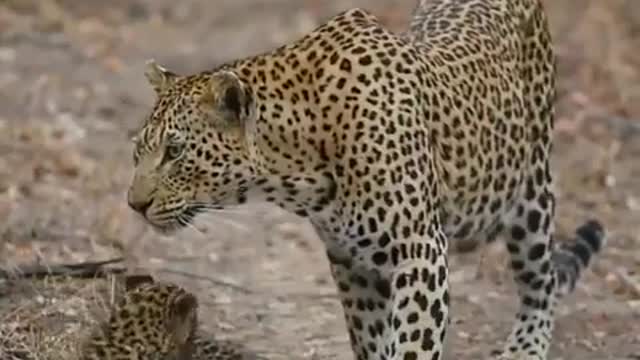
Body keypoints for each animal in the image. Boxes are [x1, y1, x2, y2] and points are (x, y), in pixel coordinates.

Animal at [124, 1, 604, 358]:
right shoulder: (351, 261)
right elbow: (370, 338)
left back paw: (525, 347)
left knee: (540, 281)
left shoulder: (420, 251)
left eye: (175, 152)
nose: (134, 205)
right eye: (139, 150)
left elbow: (412, 343)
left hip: (531, 194)